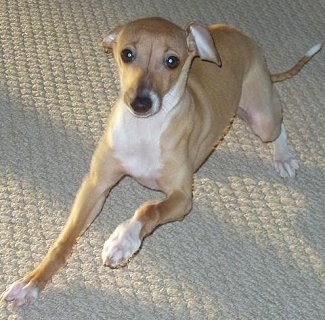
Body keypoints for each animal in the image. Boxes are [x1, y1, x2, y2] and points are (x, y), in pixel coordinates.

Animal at [1, 16, 320, 304]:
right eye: (127, 54)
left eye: (172, 61)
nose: (141, 103)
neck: (145, 131)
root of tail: (240, 34)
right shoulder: (96, 185)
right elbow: (64, 240)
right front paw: (31, 282)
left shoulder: (182, 198)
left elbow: (148, 209)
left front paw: (122, 240)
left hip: (261, 119)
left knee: (279, 125)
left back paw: (284, 157)